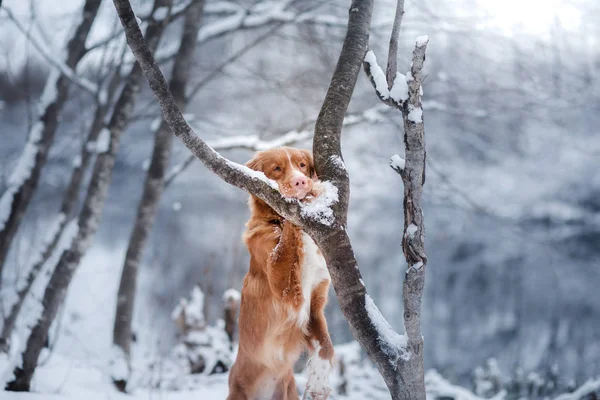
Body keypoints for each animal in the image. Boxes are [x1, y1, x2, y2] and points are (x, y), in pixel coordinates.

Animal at [229, 148, 336, 400]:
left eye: (302, 164)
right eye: (277, 169)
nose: (301, 181)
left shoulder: (314, 307)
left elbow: (326, 346)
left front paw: (319, 384)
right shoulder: (284, 289)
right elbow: (284, 250)